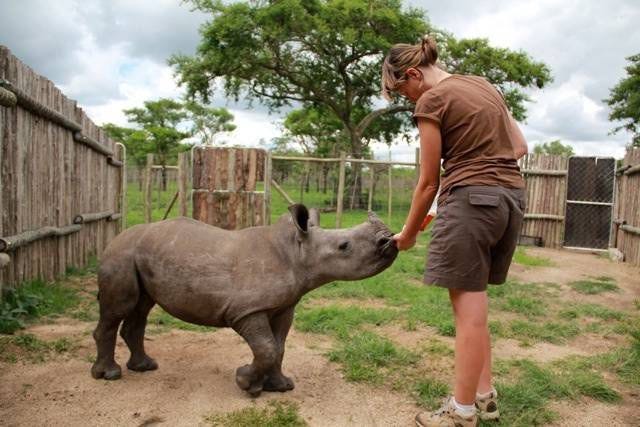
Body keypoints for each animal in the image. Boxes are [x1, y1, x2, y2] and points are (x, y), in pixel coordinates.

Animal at [91, 204, 398, 396]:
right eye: (344, 246)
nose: (389, 239)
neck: (297, 252)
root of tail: (115, 237)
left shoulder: (284, 306)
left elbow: (279, 346)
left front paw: (280, 387)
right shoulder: (245, 310)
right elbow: (266, 347)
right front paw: (245, 383)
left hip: (138, 254)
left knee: (141, 308)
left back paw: (145, 367)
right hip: (121, 254)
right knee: (119, 308)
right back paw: (110, 375)